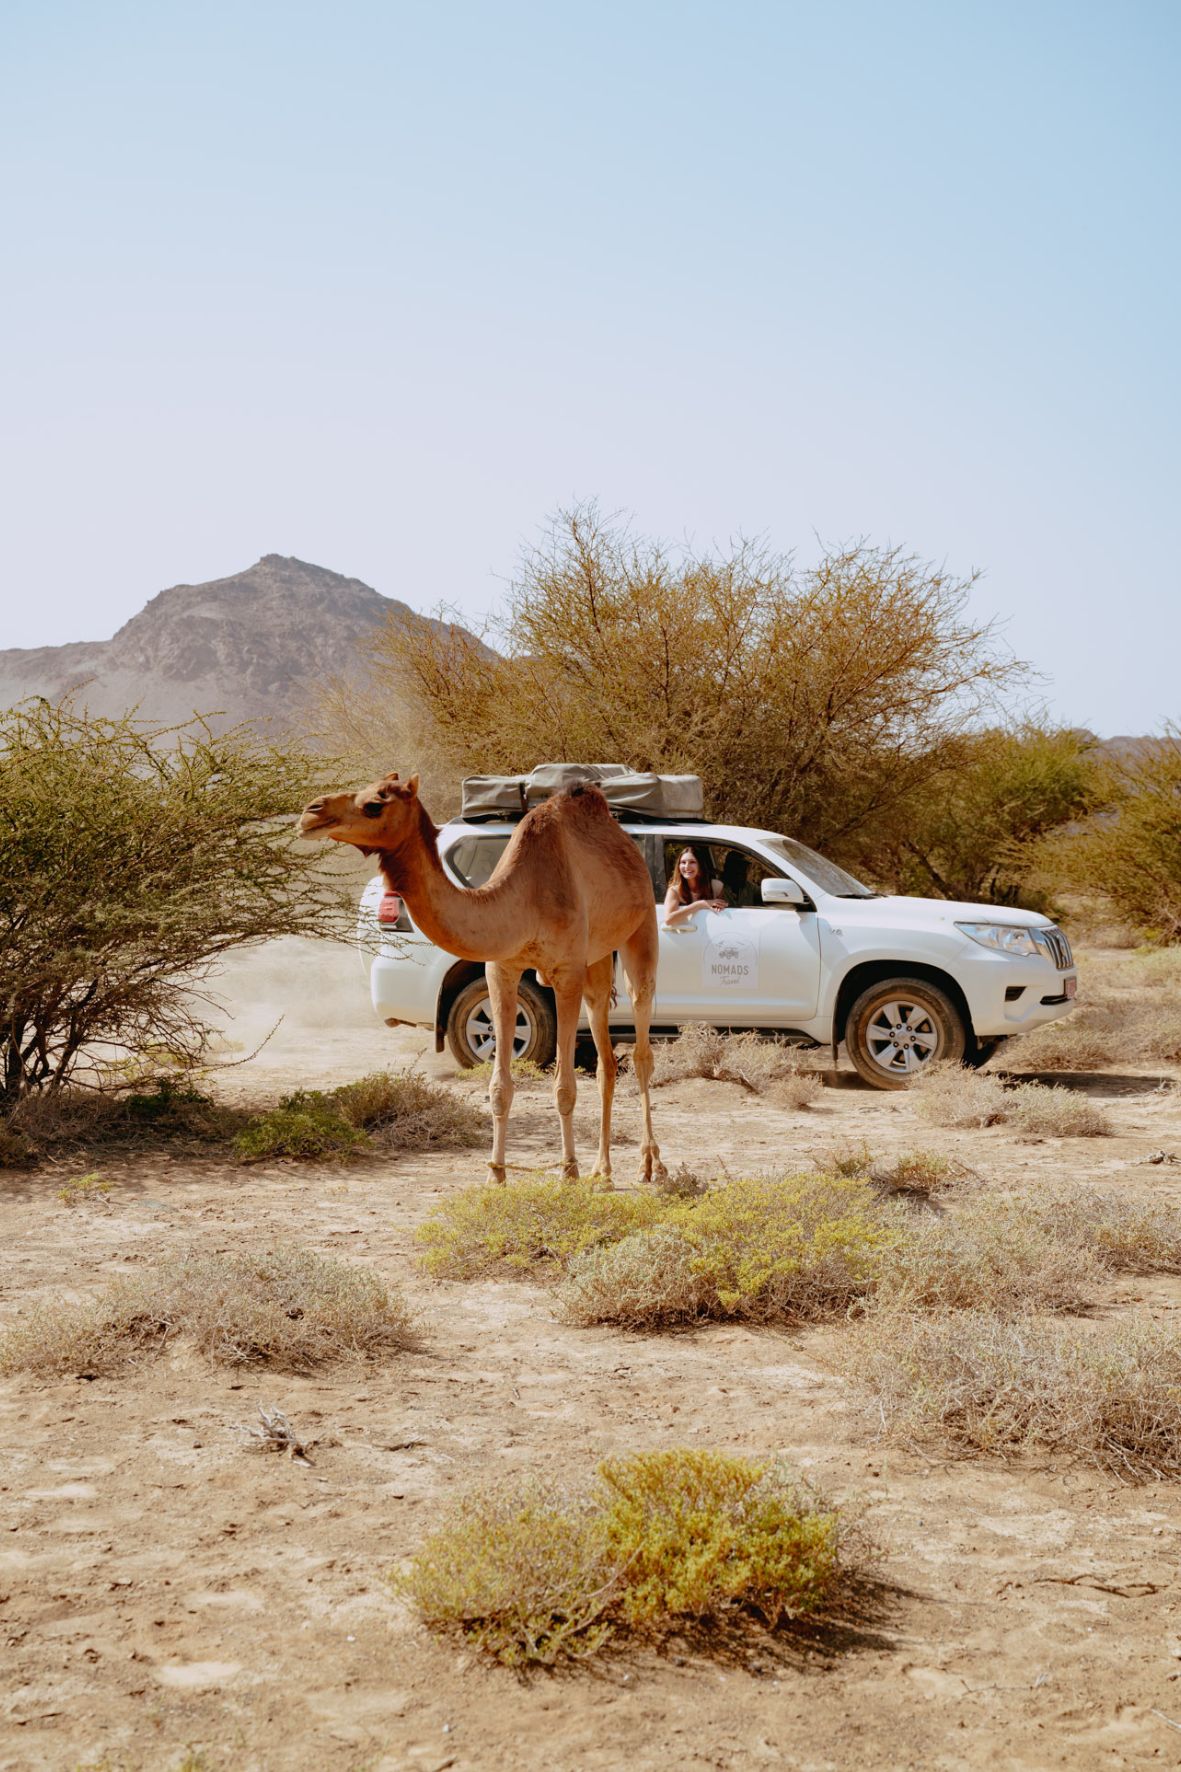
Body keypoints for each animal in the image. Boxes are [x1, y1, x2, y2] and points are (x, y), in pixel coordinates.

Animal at [299, 772, 666, 1188]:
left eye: (375, 804)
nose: (311, 813)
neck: (524, 902)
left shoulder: (566, 972)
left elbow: (563, 1086)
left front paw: (568, 1171)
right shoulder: (501, 970)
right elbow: (499, 1086)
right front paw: (496, 1174)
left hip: (639, 930)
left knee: (640, 1042)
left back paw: (649, 1165)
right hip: (598, 958)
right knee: (606, 1057)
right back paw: (602, 1170)